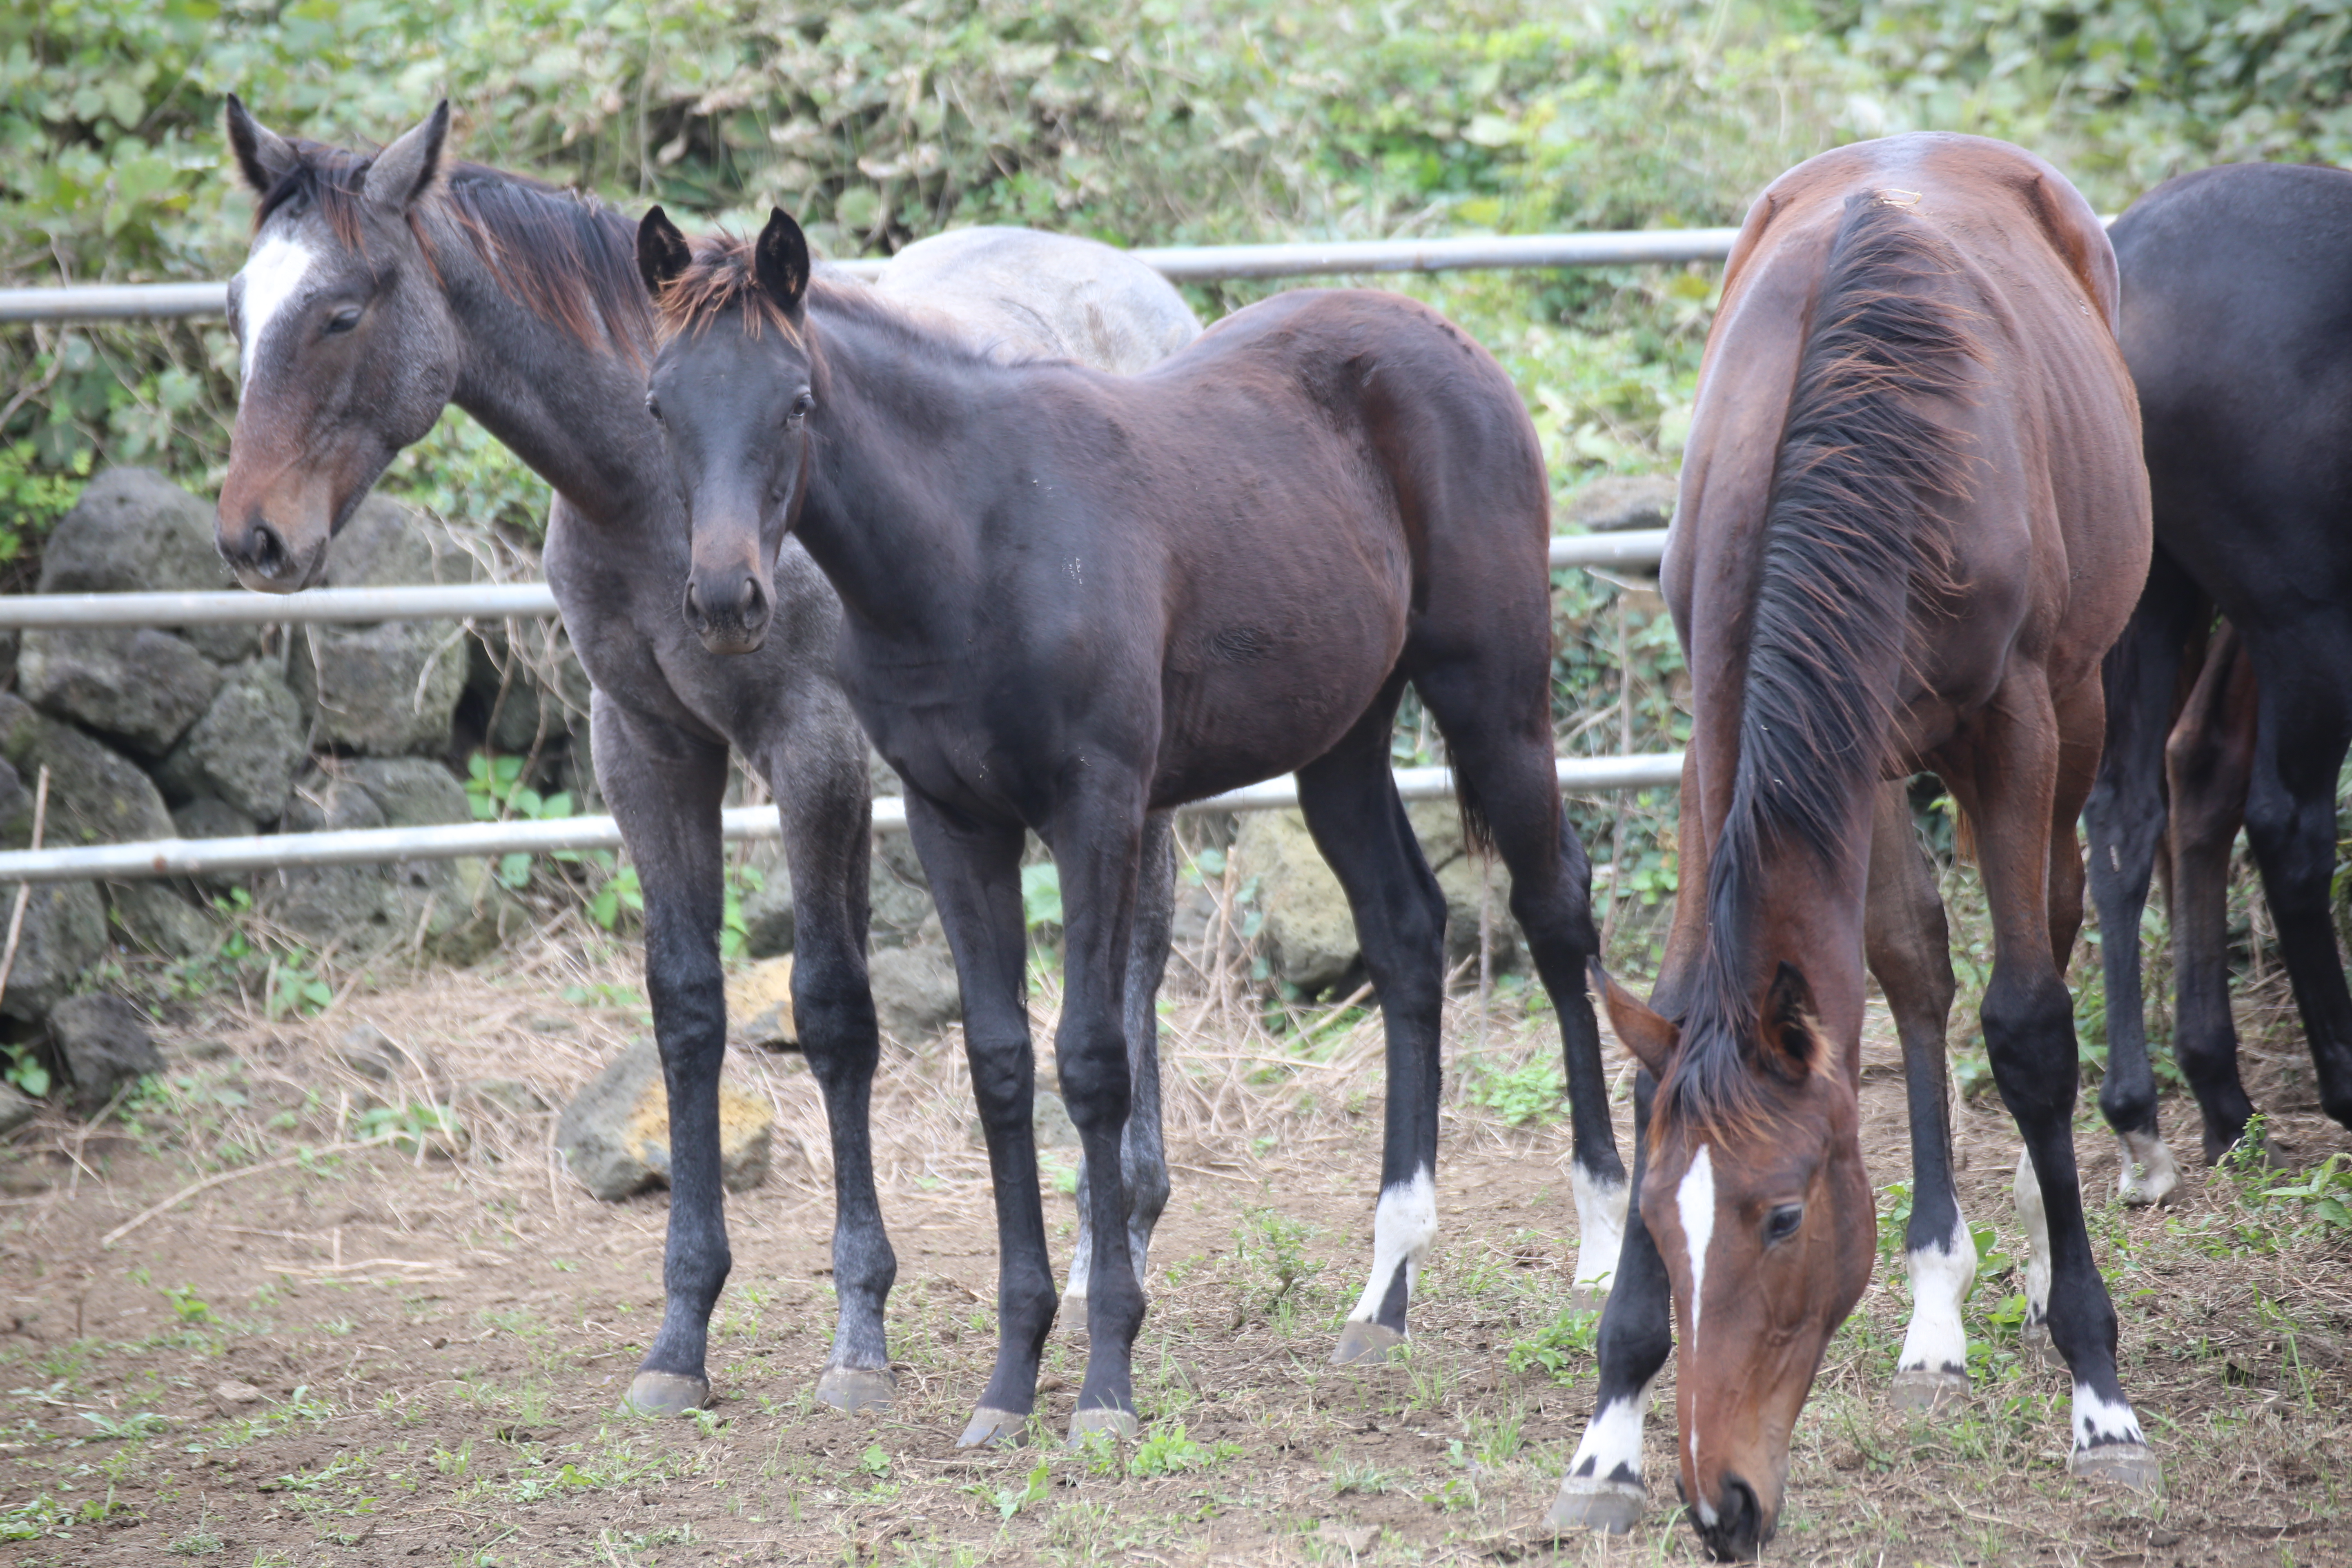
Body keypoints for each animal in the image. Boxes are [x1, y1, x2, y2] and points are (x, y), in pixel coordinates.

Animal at [205, 95, 1204, 1420]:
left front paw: (859, 1331)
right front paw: (681, 1332)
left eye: (343, 310)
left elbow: (833, 1013)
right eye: (237, 304)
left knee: (1140, 945)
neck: (657, 498)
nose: (253, 537)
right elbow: (685, 1010)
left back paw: (1116, 1237)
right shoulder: (644, 745)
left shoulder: (811, 746)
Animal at [635, 208, 1637, 1448]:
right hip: (1338, 744)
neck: (975, 538)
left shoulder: (1096, 809)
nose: (727, 602)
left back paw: (1602, 1235)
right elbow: (1001, 1067)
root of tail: (1449, 340)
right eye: (660, 404)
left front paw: (1106, 1379)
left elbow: (1094, 1064)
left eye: (796, 399)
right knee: (1408, 934)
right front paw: (1010, 1379)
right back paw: (1382, 1298)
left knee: (1556, 914)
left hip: (1494, 699)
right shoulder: (953, 822)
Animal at [1552, 135, 2154, 1561]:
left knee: (2052, 925)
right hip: (1874, 759)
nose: (1722, 1502)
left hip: (2079, 707)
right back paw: (1937, 1298)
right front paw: (1612, 1424)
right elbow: (1701, 1010)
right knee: (1915, 968)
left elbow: (2030, 1026)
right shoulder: (1729, 730)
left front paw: (2101, 1394)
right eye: (1655, 1219)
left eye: (1782, 1216)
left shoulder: (2017, 723)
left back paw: (2038, 1252)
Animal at [2088, 156, 2352, 1189]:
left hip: (2158, 598)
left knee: (2129, 810)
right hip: (2305, 629)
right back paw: (2340, 1081)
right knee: (2286, 829)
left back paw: (2149, 1114)